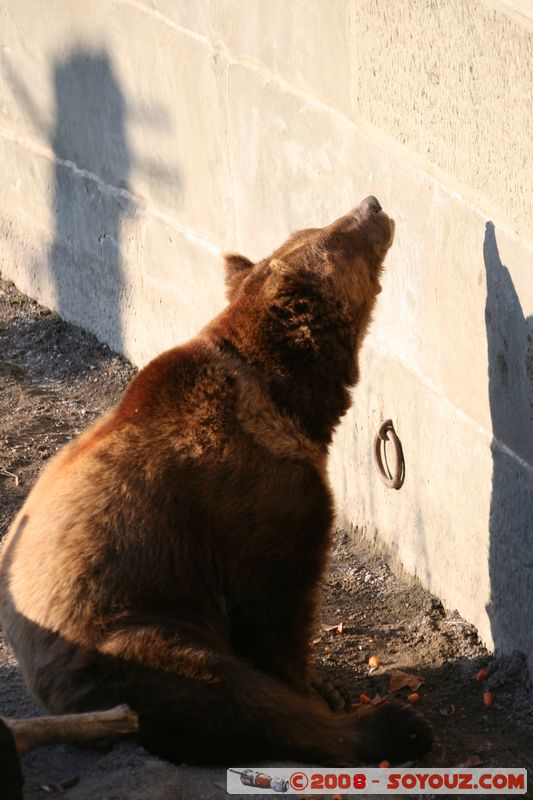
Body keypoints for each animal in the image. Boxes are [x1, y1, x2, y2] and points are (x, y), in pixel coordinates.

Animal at [1, 197, 432, 764]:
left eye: (314, 225)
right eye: (336, 234)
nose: (373, 204)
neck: (288, 399)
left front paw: (325, 682)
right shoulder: (255, 495)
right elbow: (277, 603)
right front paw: (316, 685)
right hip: (130, 637)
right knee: (232, 694)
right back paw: (392, 724)